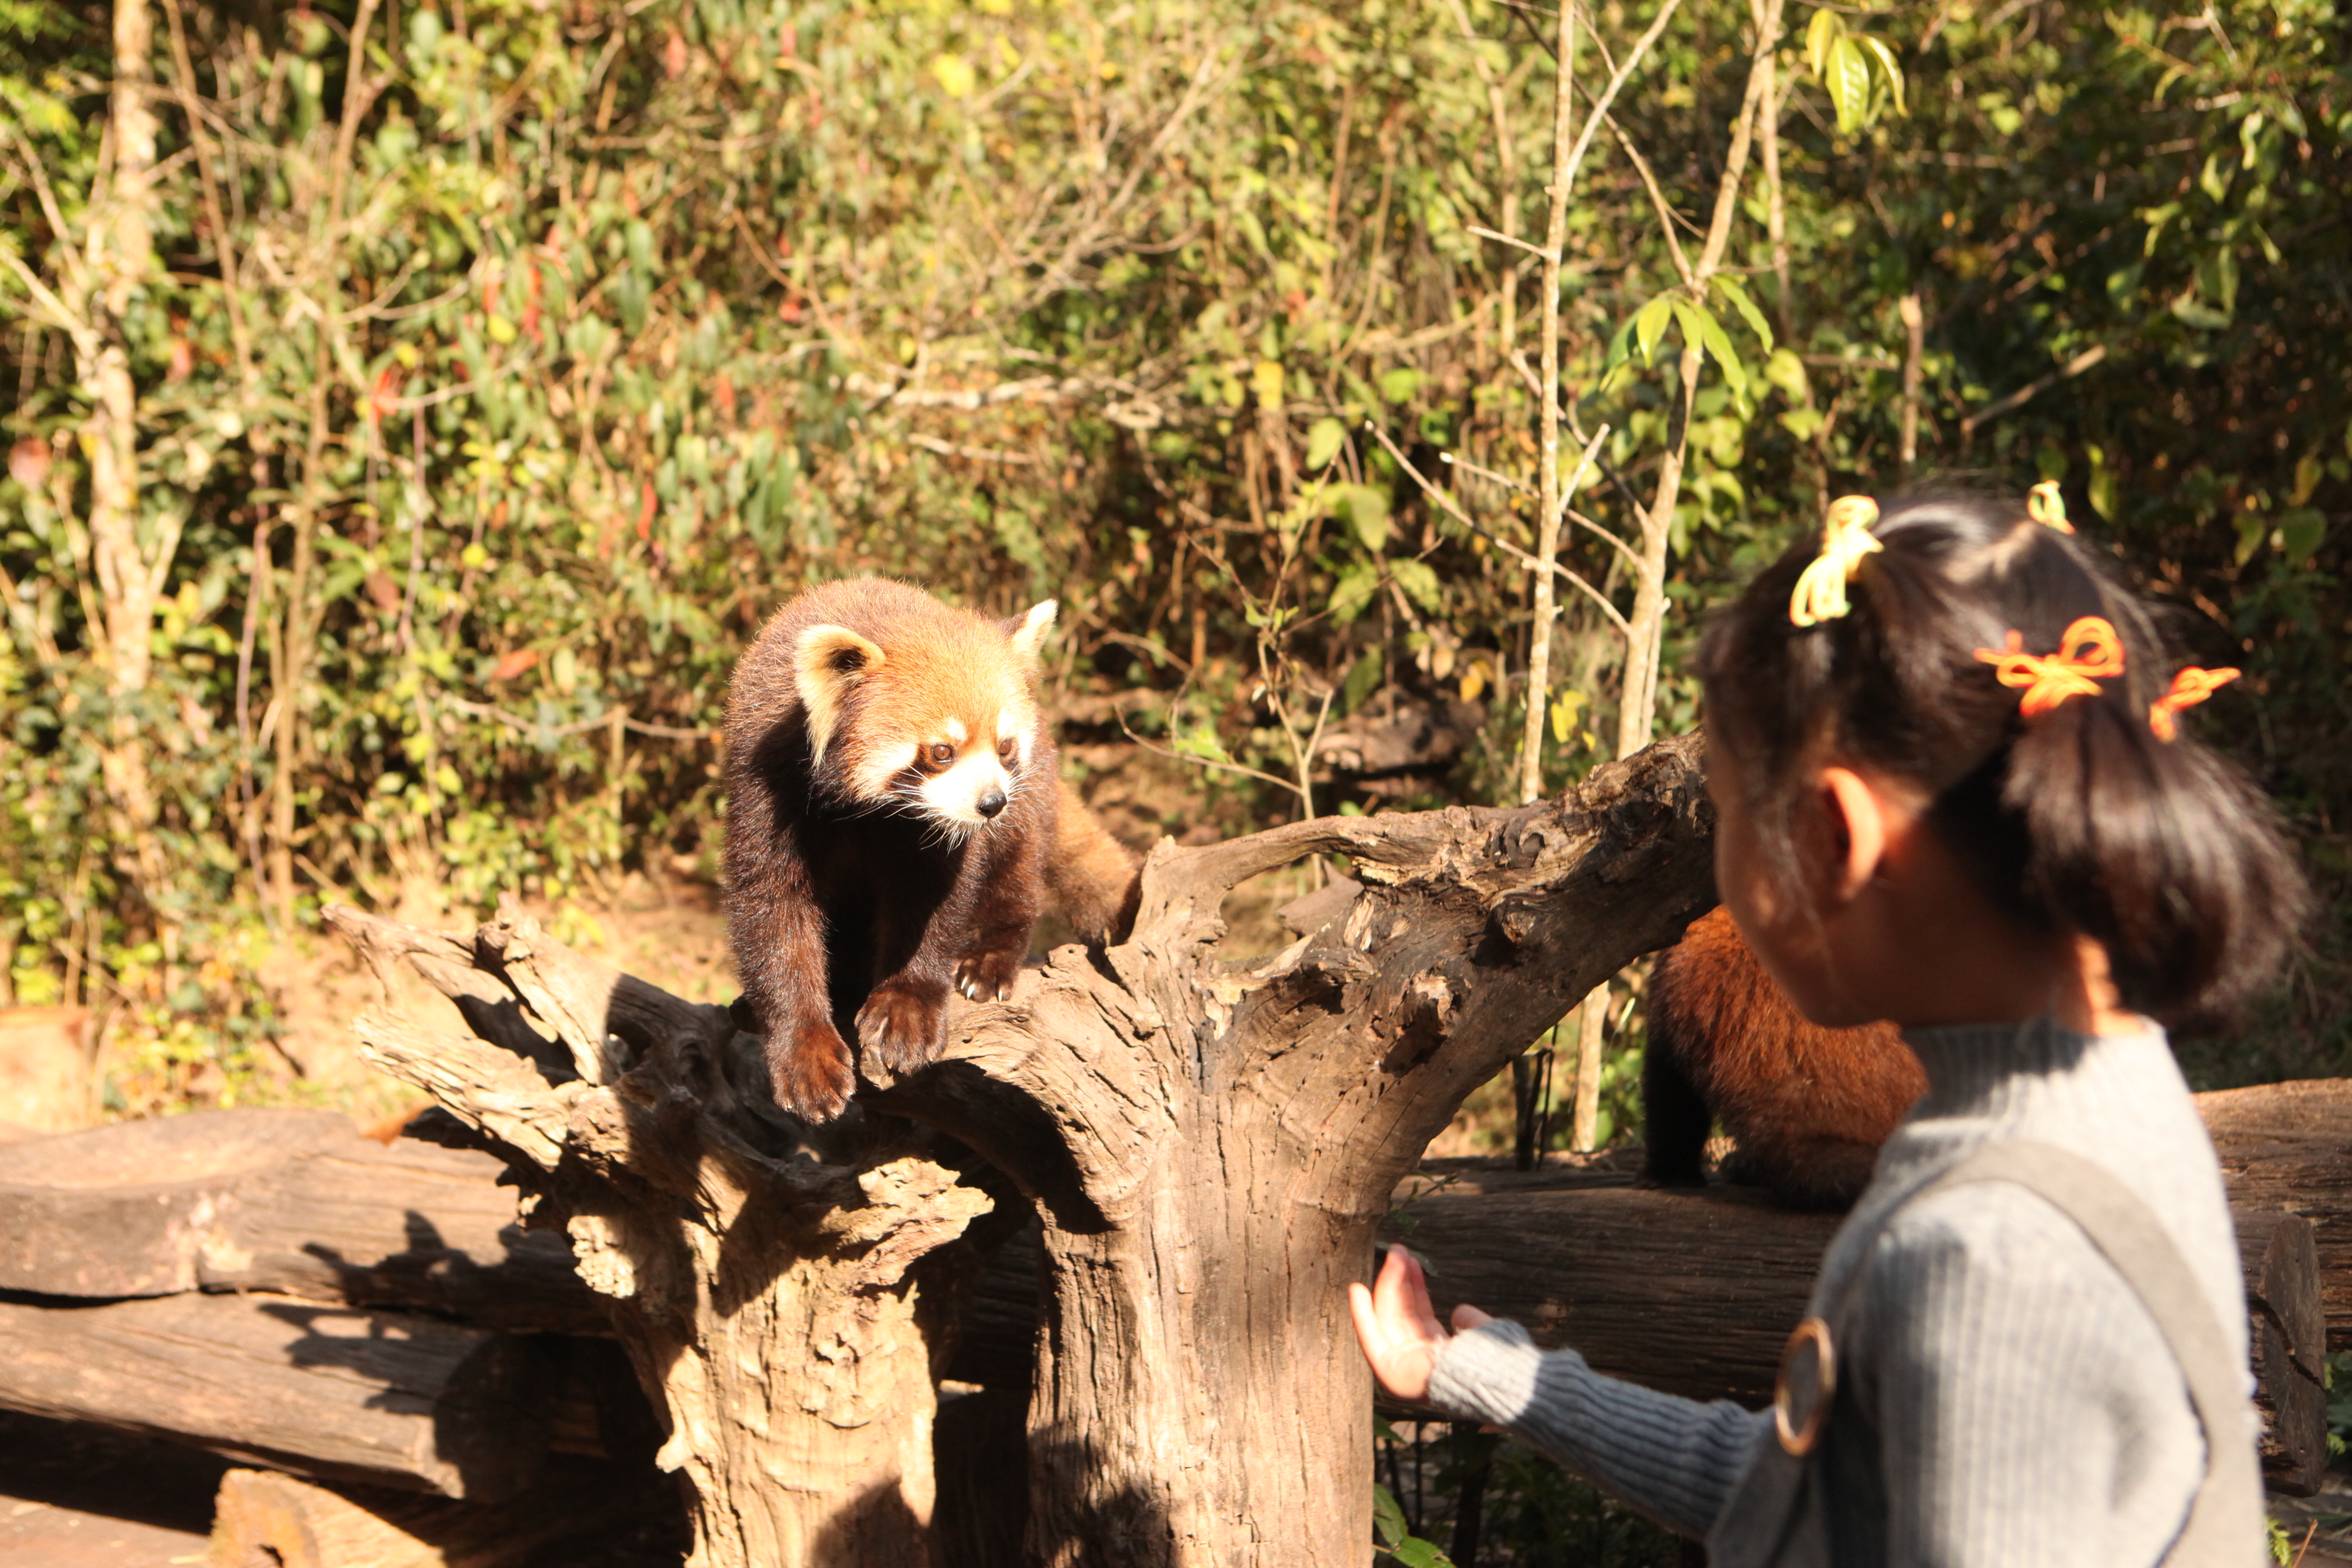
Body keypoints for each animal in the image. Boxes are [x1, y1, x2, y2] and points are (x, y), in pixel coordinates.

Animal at [724, 583, 1148, 1124]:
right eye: (942, 752)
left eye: (1005, 746)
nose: (991, 802)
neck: (867, 811)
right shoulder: (768, 791)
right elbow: (773, 916)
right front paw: (805, 1052)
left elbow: (934, 906)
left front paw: (906, 1010)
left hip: (1027, 813)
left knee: (1017, 878)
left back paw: (989, 962)